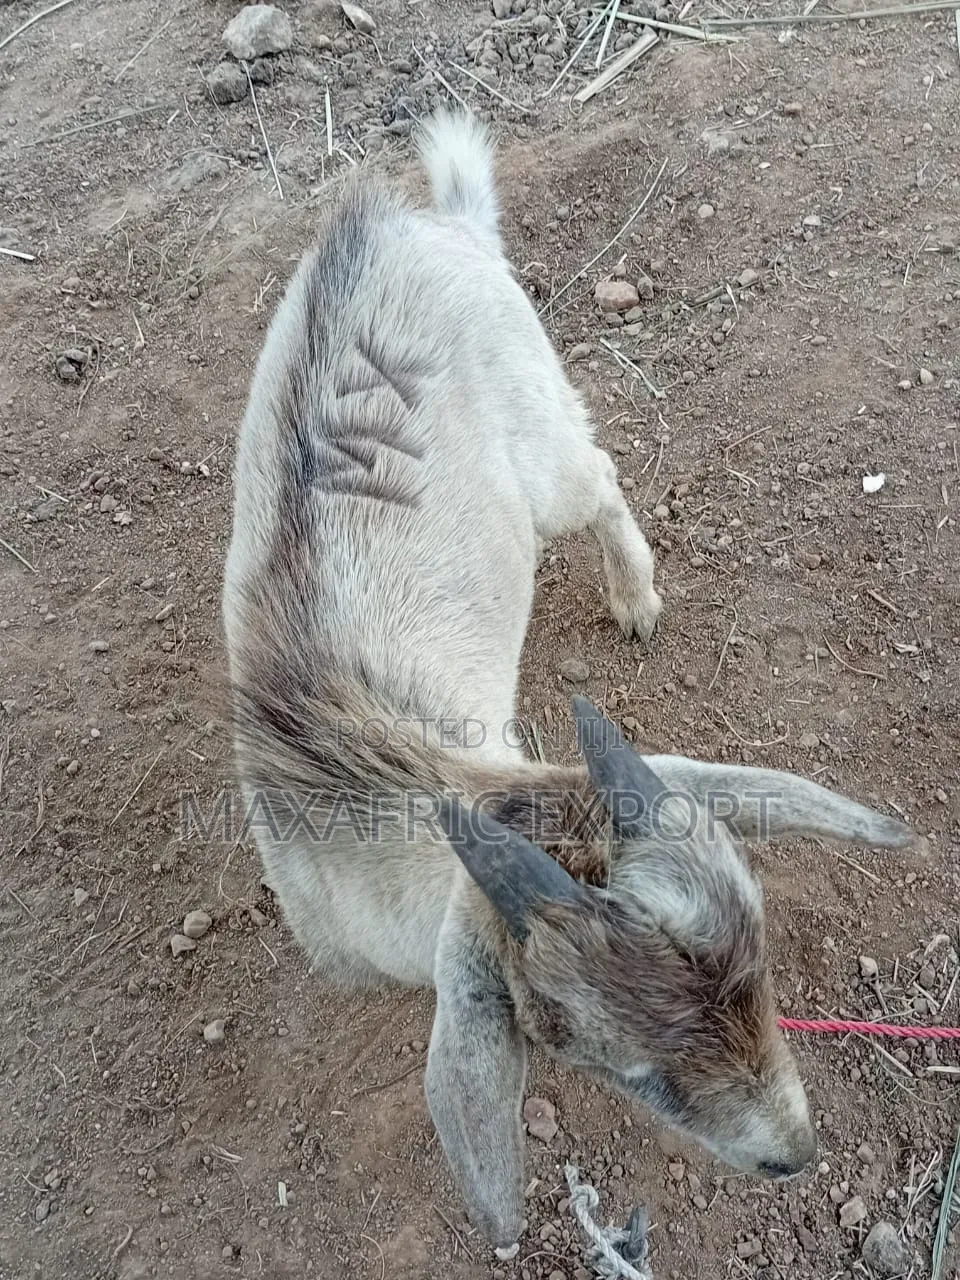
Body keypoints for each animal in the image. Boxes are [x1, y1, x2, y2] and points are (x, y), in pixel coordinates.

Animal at [222, 111, 925, 1254]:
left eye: (767, 965)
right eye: (629, 1068)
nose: (794, 1155)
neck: (357, 770)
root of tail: (424, 224)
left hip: (541, 436)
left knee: (595, 478)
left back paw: (634, 594)